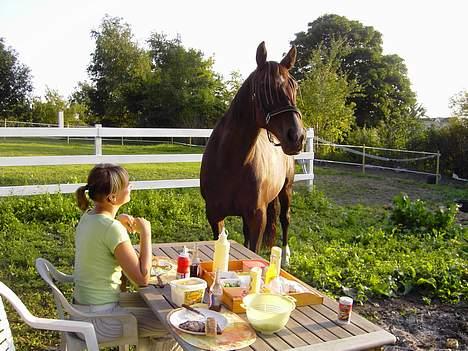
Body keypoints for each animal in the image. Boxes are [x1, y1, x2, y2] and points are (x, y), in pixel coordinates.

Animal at [199, 41, 306, 266]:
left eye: (295, 86)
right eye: (265, 86)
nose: (297, 136)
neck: (231, 163)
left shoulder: (258, 217)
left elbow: (253, 249)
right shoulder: (214, 215)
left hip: (287, 189)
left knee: (285, 219)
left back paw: (285, 257)